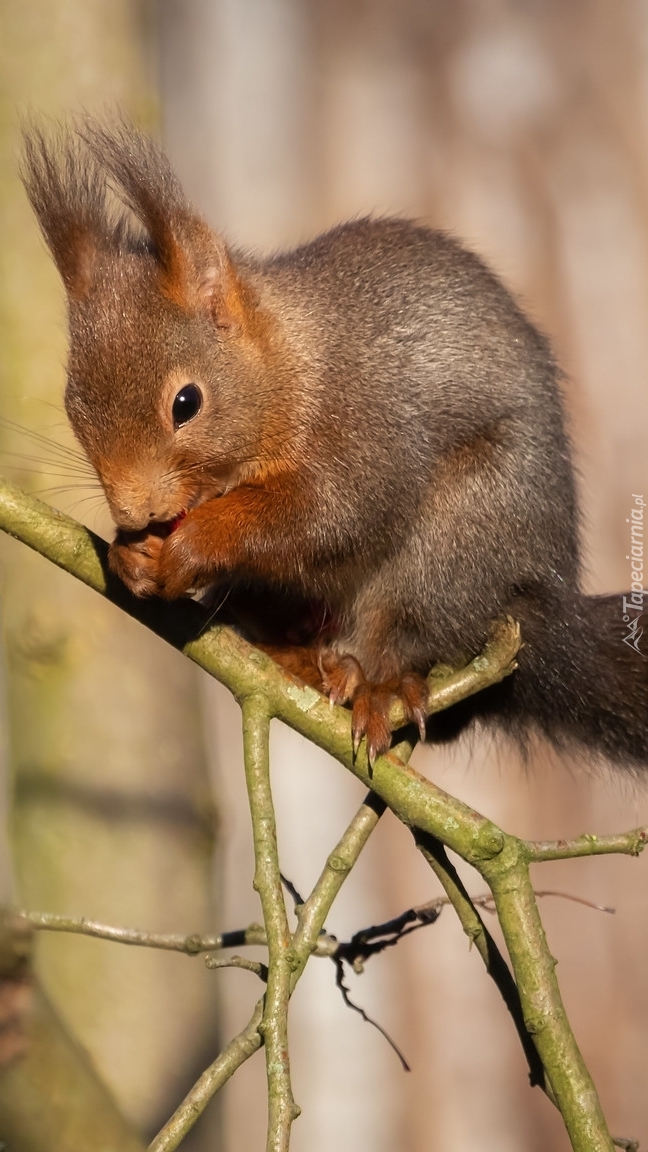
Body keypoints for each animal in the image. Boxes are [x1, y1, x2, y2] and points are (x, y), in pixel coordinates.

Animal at [20, 119, 645, 764]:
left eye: (186, 403)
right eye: (72, 406)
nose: (133, 512)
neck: (291, 368)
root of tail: (549, 611)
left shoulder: (365, 429)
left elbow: (330, 514)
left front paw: (195, 542)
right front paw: (129, 554)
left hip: (461, 545)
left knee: (410, 631)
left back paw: (377, 683)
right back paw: (297, 657)